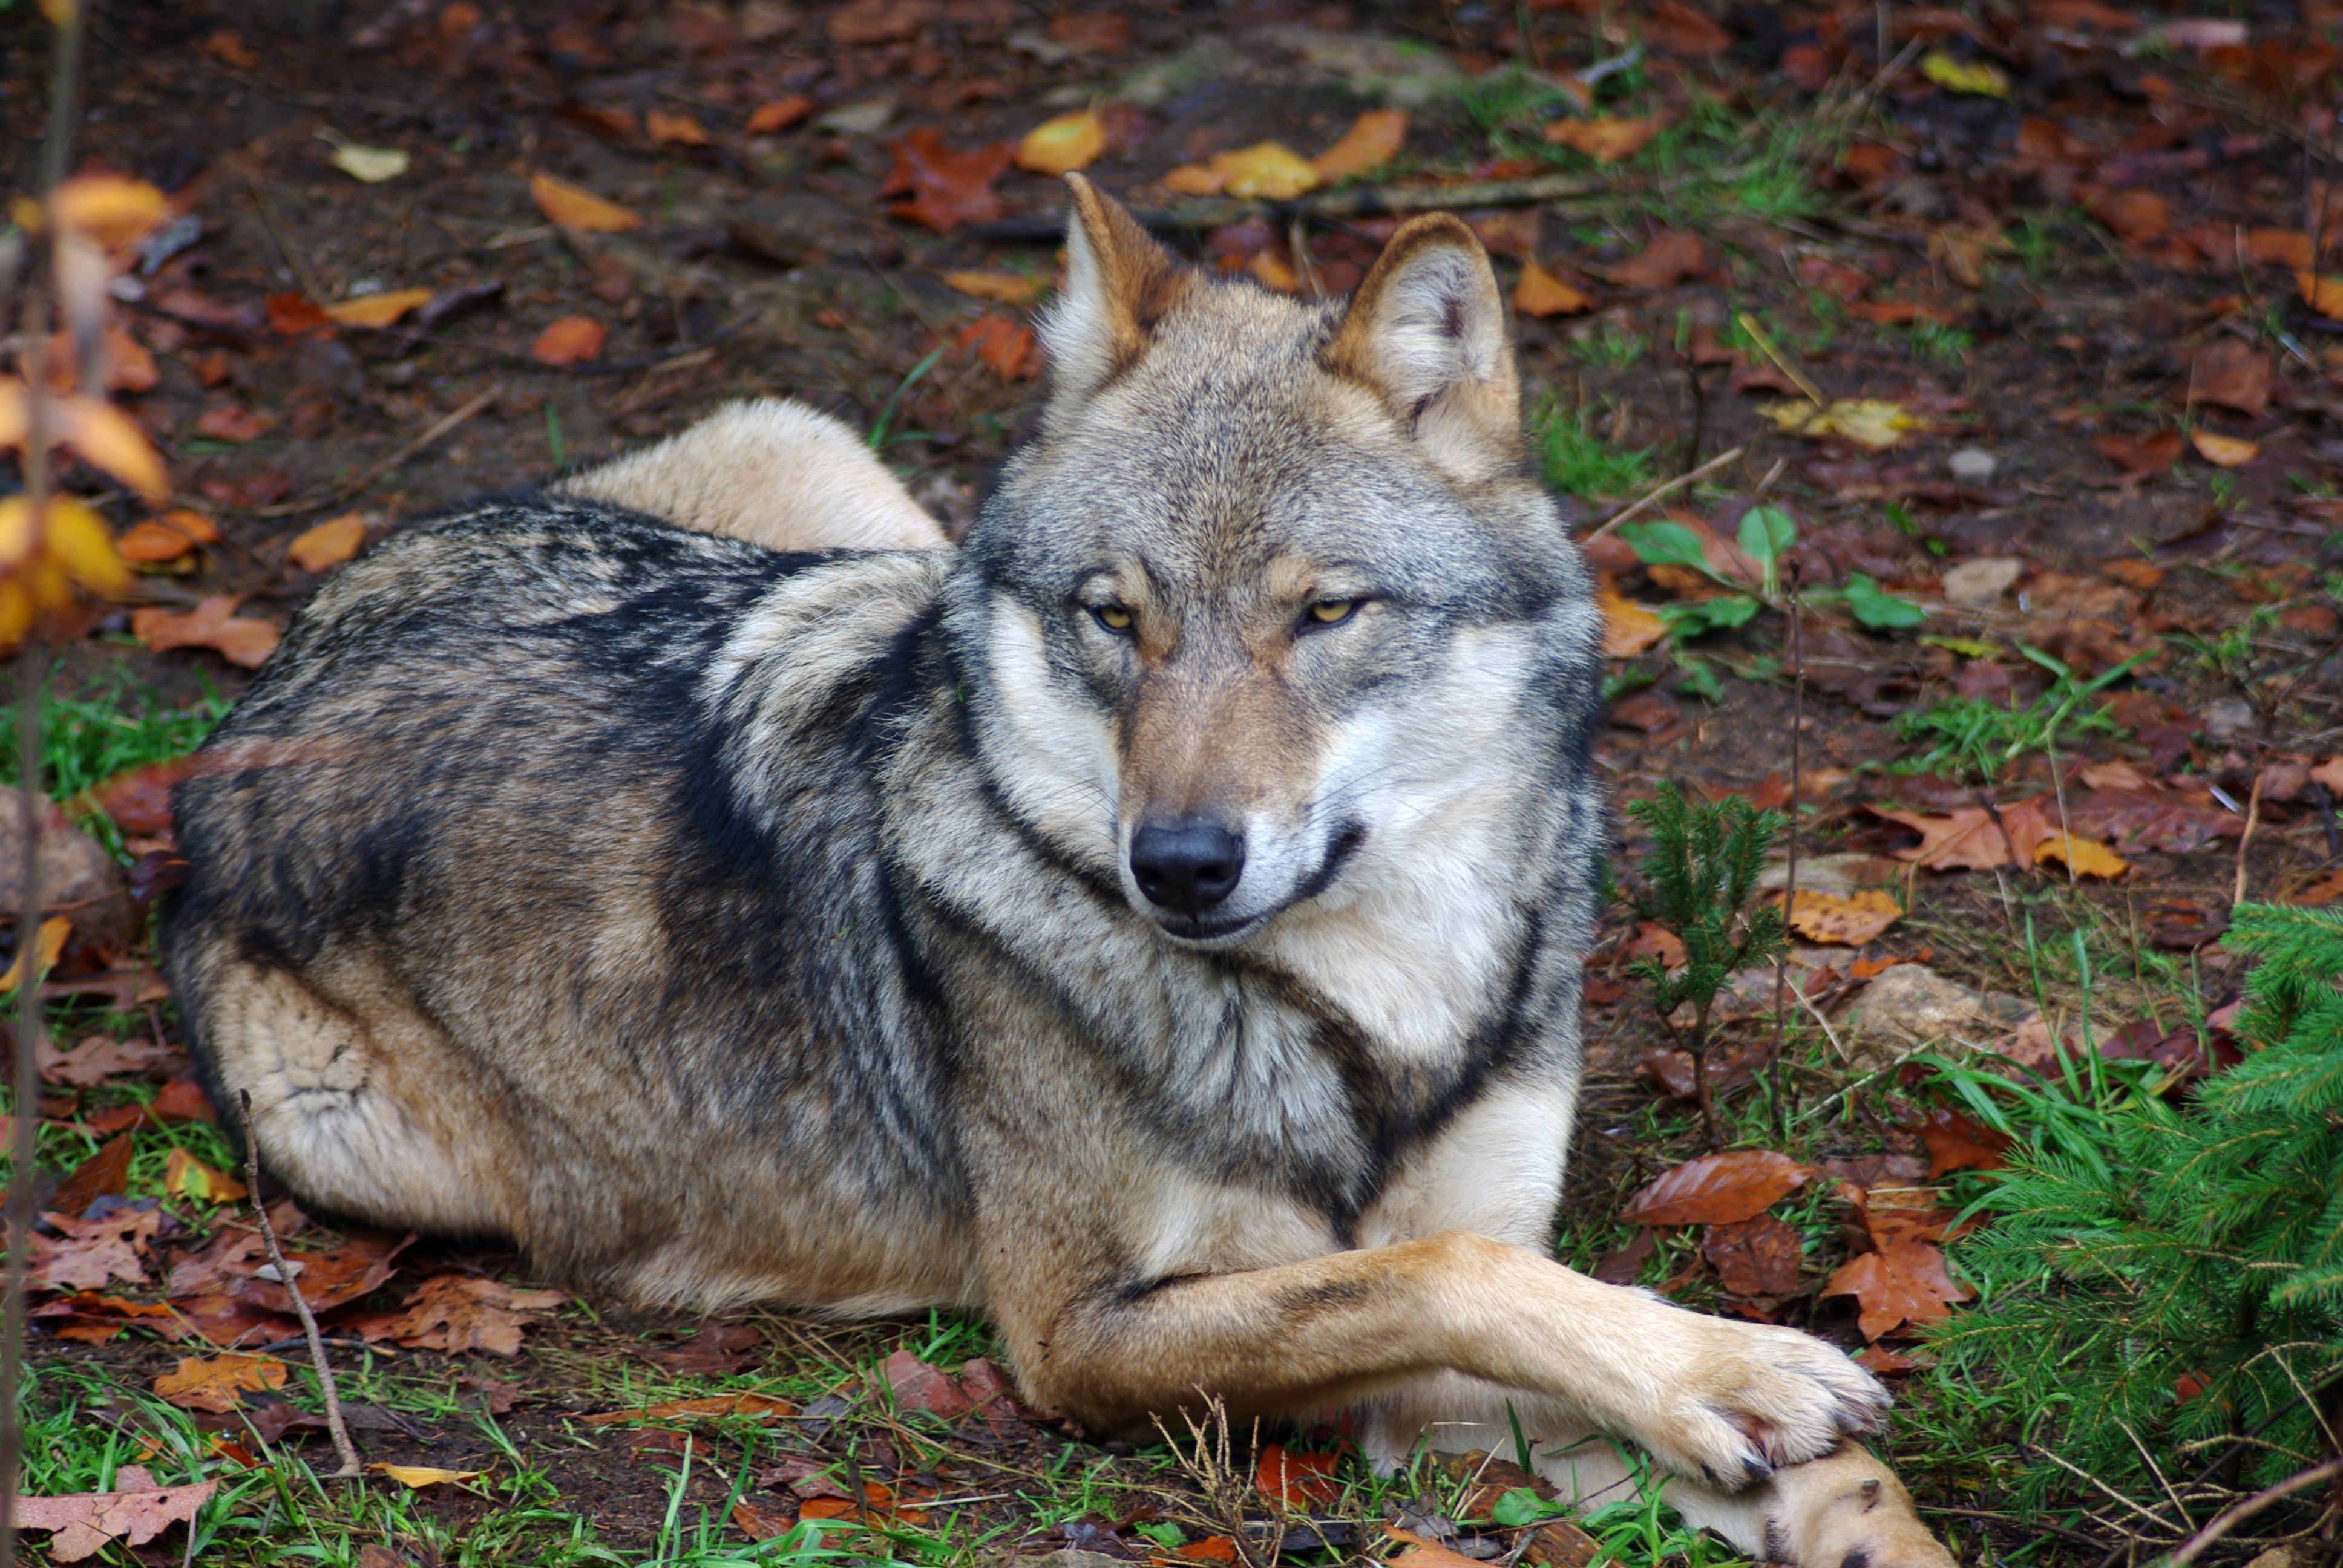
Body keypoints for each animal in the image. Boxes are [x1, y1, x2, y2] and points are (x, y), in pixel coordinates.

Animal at [165, 177, 1949, 1556]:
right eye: (1116, 617)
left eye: (1325, 613)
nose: (1181, 864)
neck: (1374, 1005)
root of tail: (280, 666)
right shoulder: (1086, 1334)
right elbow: (1439, 1268)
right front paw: (1734, 1369)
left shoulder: (1442, 1372)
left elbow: (1837, 1470)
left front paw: (1762, 1403)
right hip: (360, 1146)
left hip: (857, 510)